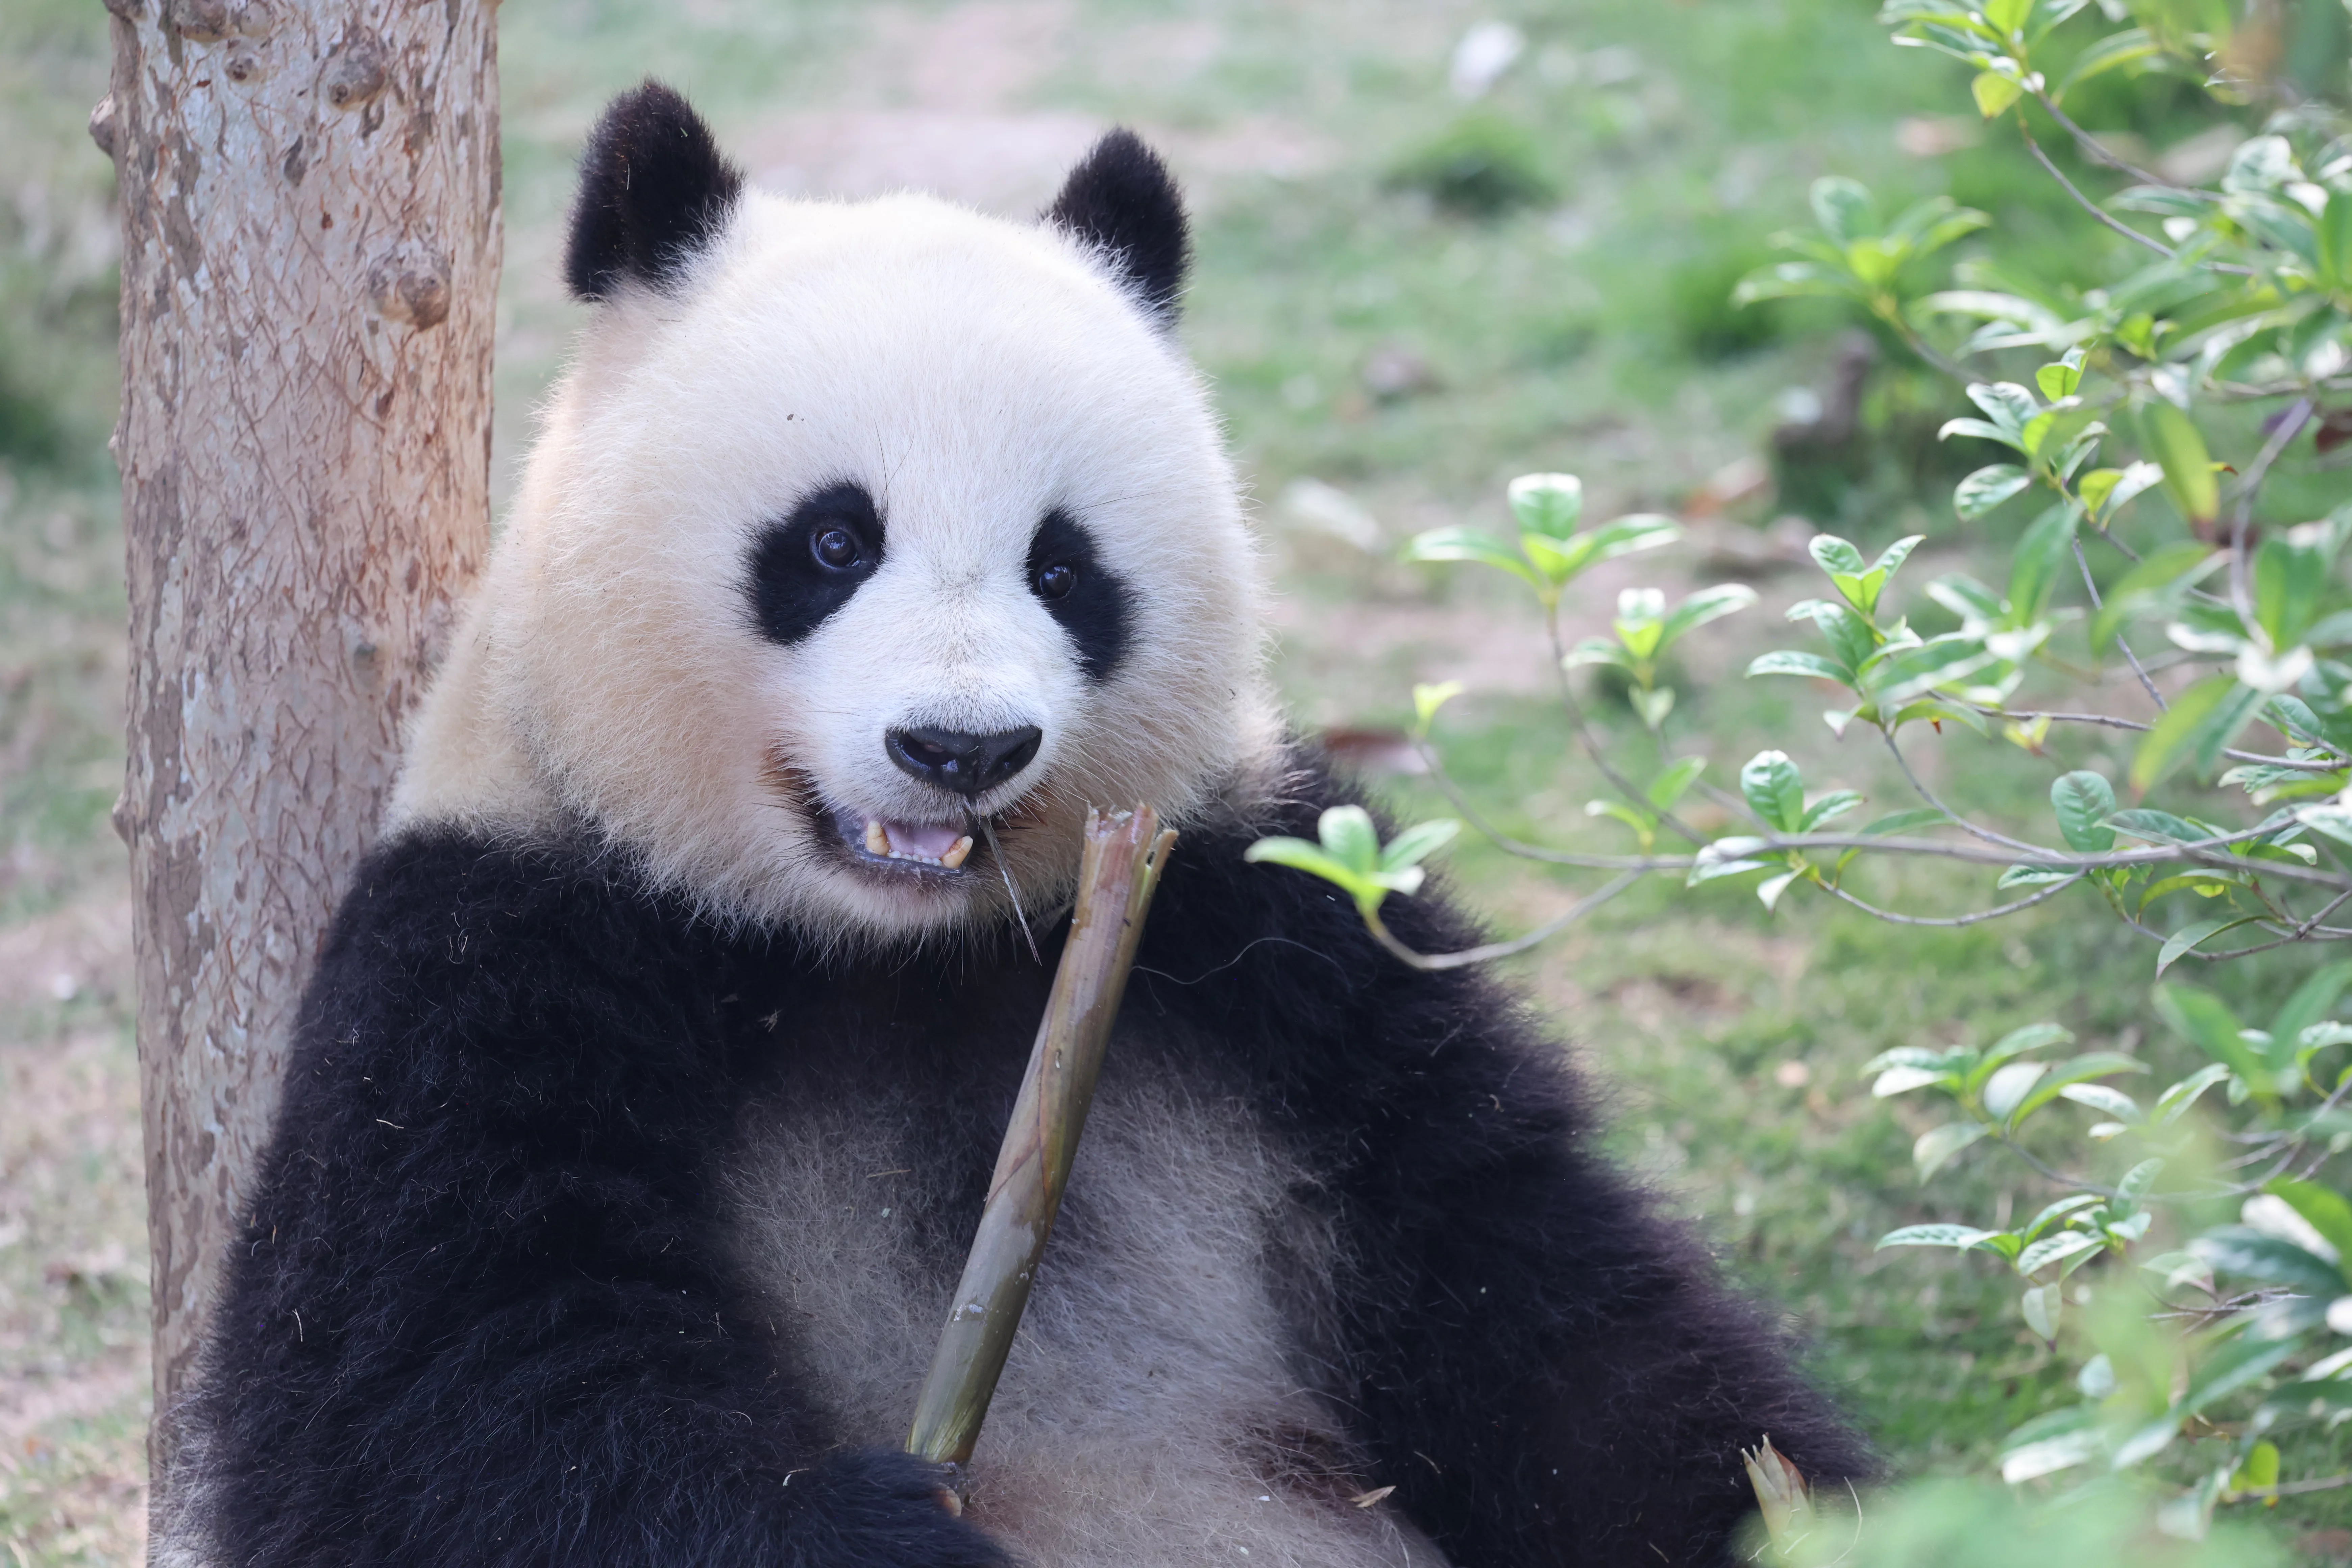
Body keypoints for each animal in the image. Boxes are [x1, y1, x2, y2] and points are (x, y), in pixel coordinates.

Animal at [165, 82, 1867, 1568]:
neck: (893, 957)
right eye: (832, 541)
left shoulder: (1277, 924)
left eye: (1065, 566)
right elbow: (435, 1394)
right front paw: (883, 1532)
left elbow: (1531, 1285)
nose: (960, 746)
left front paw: (1806, 1509)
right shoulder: (501, 944)